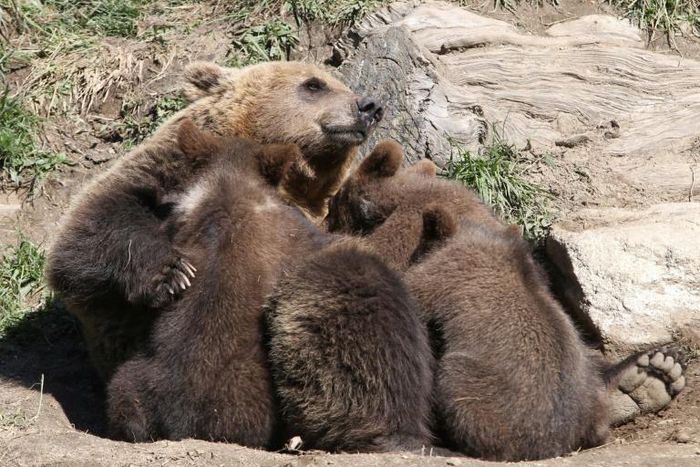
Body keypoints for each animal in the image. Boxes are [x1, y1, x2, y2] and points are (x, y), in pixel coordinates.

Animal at [46, 60, 384, 379]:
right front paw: (172, 273)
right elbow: (90, 228)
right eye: (314, 84)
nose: (370, 107)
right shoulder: (166, 171)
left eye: (338, 84)